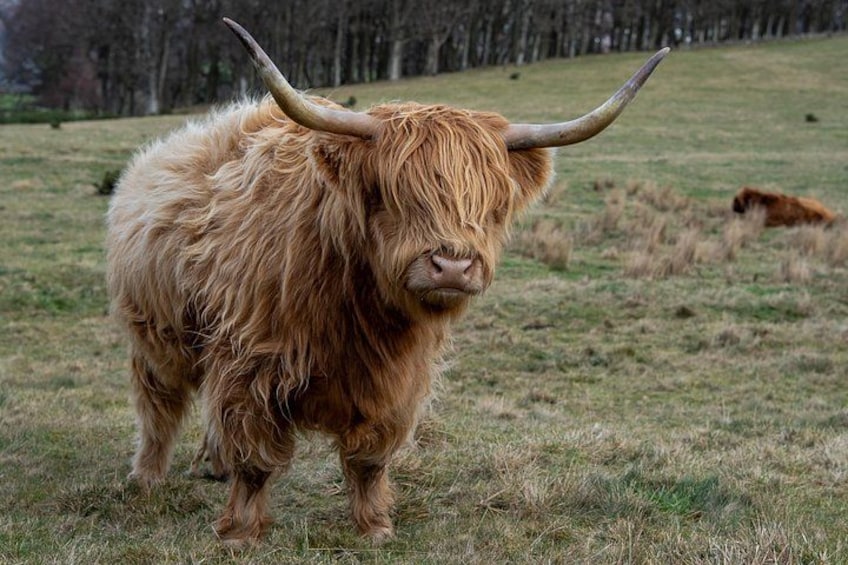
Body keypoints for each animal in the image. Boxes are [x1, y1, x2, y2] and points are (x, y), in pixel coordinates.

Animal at [106, 18, 668, 545]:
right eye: (392, 192)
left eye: (490, 203)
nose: (452, 266)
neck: (356, 308)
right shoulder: (252, 361)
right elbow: (255, 457)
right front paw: (241, 532)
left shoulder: (398, 380)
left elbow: (371, 458)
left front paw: (374, 525)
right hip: (156, 336)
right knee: (159, 408)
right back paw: (147, 478)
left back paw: (212, 464)